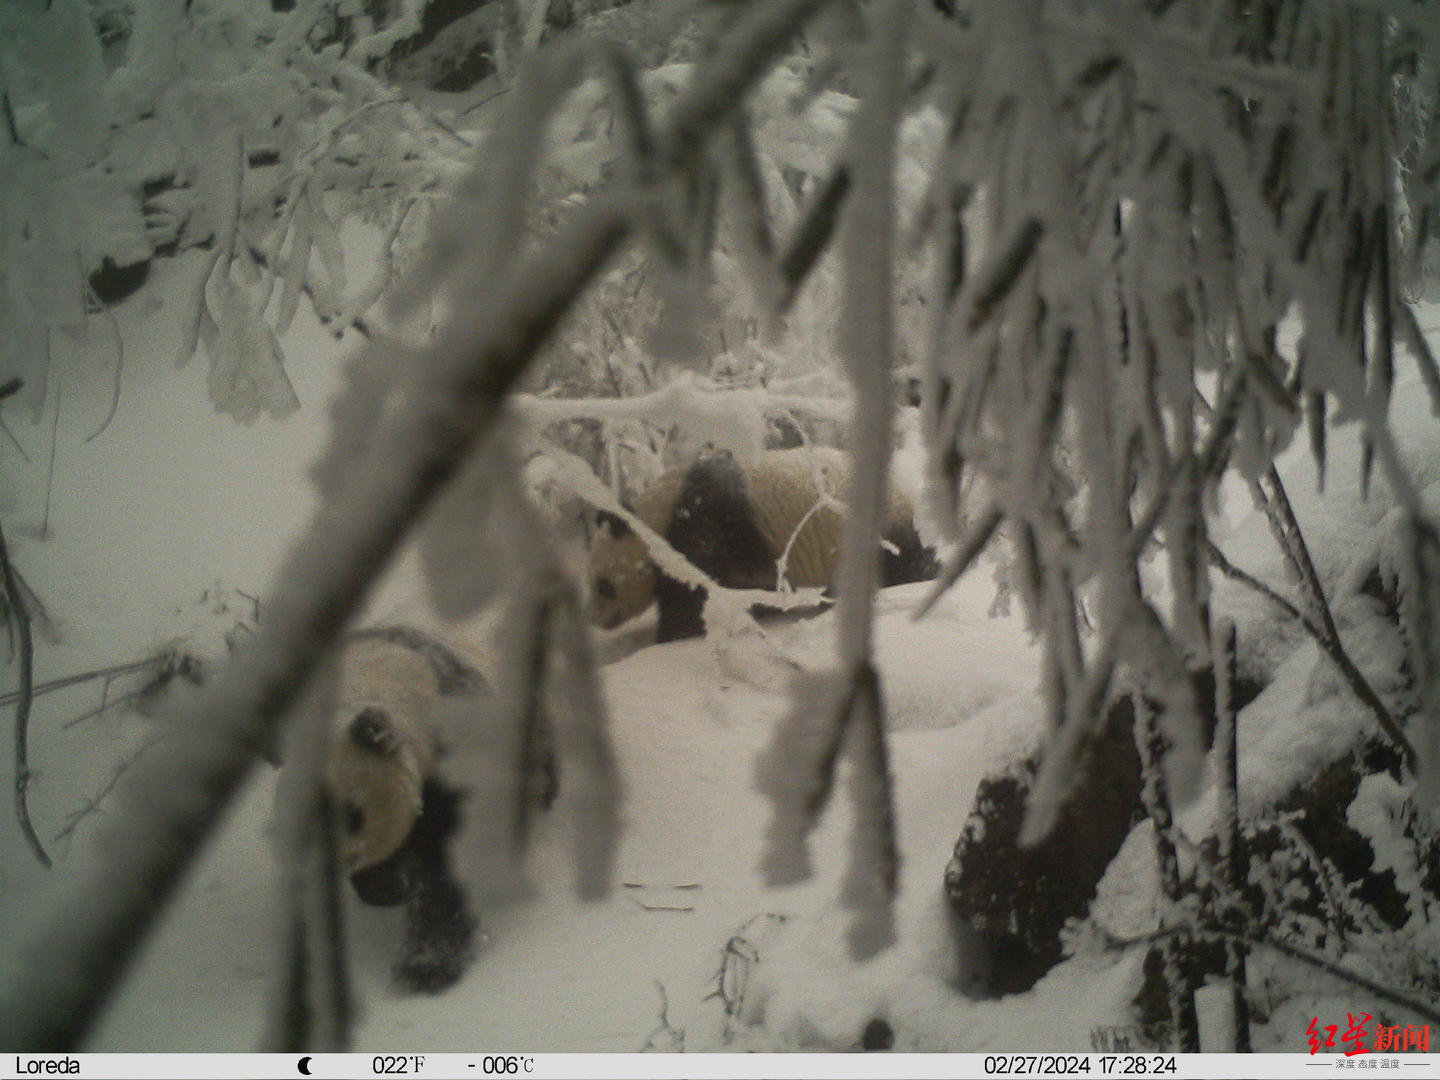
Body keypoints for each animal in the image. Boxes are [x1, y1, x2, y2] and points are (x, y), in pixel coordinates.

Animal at [584, 446, 933, 642]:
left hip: (869, 528)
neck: (656, 519)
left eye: (603, 585)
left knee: (903, 563)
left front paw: (672, 634)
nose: (596, 619)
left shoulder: (700, 530)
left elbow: (693, 593)